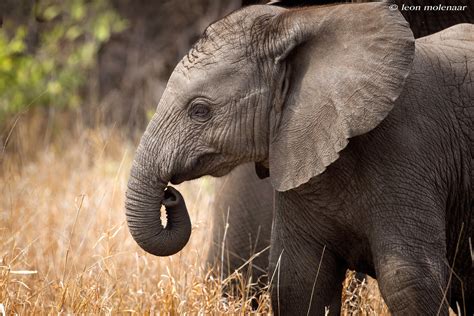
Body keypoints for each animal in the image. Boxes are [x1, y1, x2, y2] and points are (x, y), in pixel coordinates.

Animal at [126, 2, 474, 316]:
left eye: (200, 110)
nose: (169, 194)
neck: (304, 19)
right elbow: (299, 283)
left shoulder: (410, 148)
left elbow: (407, 282)